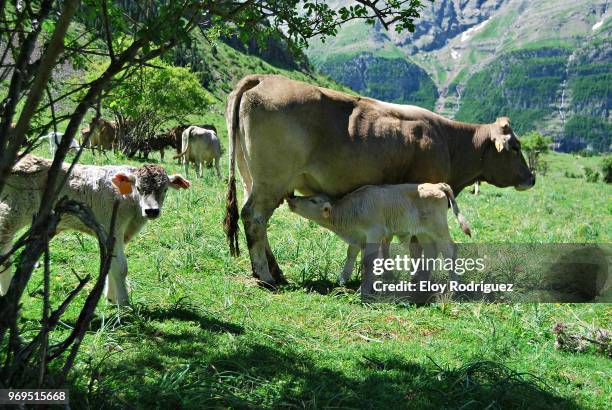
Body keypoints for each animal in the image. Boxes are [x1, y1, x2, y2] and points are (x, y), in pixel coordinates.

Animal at [0, 155, 189, 306]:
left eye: (165, 189)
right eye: (139, 188)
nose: (152, 211)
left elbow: (111, 262)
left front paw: (111, 298)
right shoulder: (112, 228)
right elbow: (120, 267)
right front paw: (125, 304)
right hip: (11, 212)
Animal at [290, 183, 470, 284]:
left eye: (313, 201)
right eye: (310, 196)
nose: (292, 199)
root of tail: (437, 185)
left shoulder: (374, 233)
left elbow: (369, 261)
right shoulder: (358, 238)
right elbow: (350, 255)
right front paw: (342, 280)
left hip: (438, 228)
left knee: (449, 250)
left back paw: (453, 286)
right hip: (423, 231)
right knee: (431, 251)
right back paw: (421, 281)